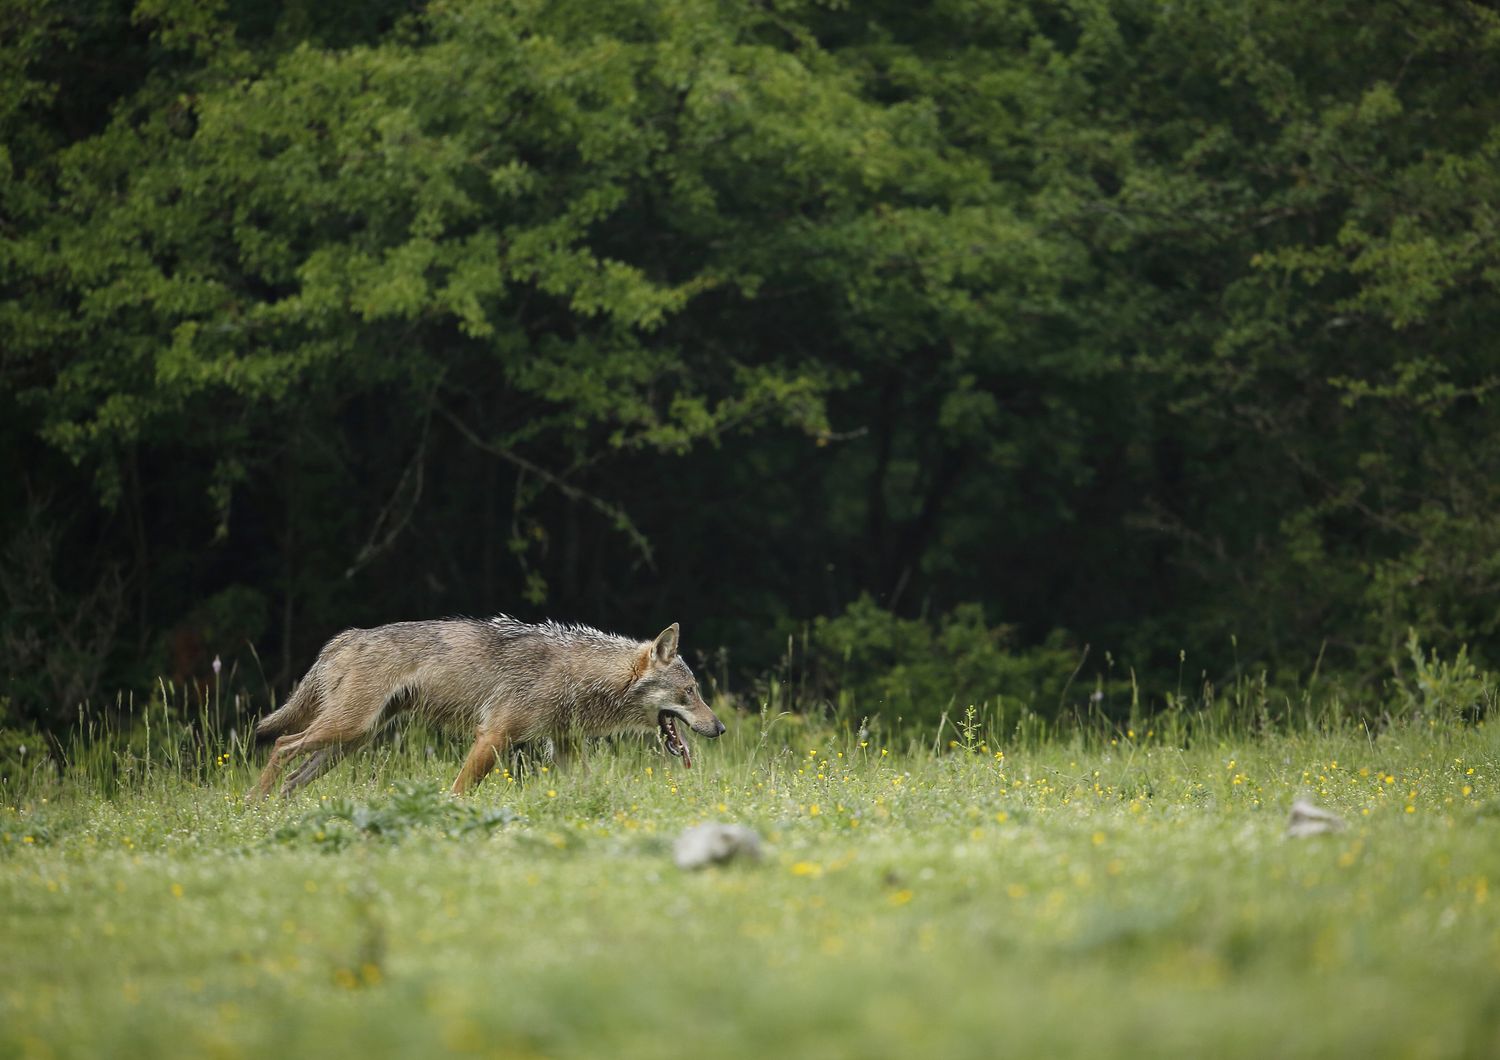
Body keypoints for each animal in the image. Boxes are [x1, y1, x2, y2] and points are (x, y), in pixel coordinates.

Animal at [252, 617, 726, 797]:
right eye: (690, 692)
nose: (720, 728)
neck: (581, 674)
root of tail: (346, 636)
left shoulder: (565, 746)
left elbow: (590, 790)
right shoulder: (493, 736)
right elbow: (459, 791)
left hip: (351, 740)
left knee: (293, 774)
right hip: (345, 730)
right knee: (281, 744)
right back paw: (254, 804)